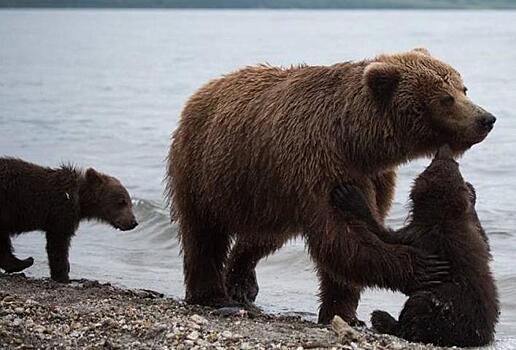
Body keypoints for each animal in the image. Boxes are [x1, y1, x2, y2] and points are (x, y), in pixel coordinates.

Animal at [166, 47, 496, 324]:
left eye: (463, 88)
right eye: (445, 98)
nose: (486, 118)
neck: (356, 140)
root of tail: (207, 87)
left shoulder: (375, 176)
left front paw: (344, 313)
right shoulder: (321, 162)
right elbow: (342, 235)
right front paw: (424, 267)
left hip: (268, 192)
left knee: (264, 236)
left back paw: (242, 282)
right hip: (204, 169)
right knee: (203, 235)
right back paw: (212, 295)